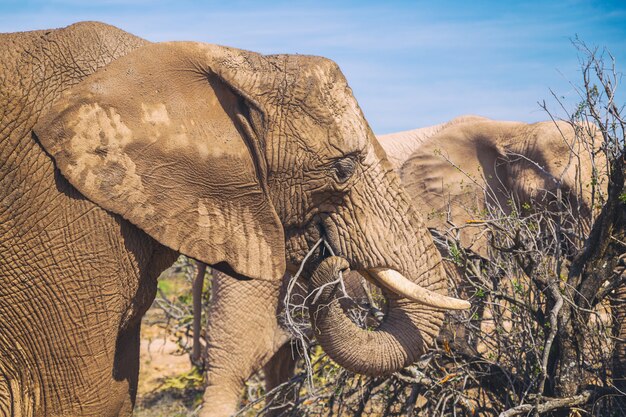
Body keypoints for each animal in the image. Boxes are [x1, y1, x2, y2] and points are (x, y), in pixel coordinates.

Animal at [202, 115, 604, 414]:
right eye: (563, 194)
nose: (334, 259)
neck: (515, 129)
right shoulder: (443, 223)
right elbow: (455, 329)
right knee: (233, 367)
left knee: (282, 366)